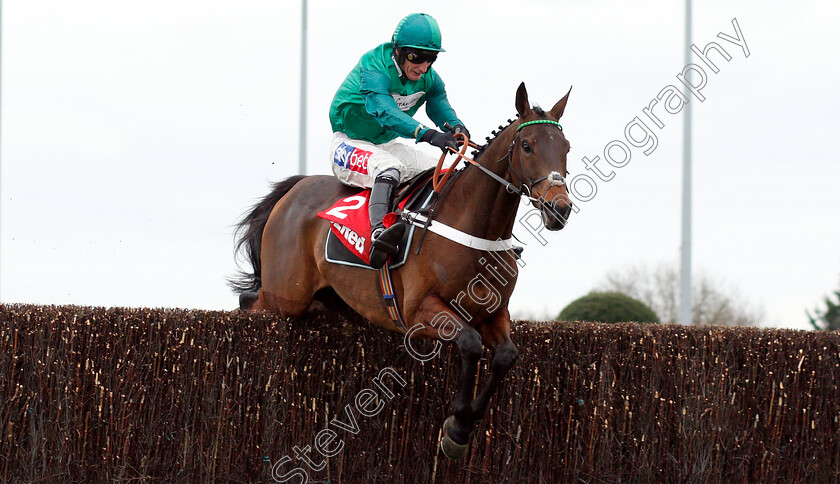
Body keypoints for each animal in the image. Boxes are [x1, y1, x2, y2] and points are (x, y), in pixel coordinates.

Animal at [230, 82, 572, 458]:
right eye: (527, 146)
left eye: (566, 147)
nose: (560, 209)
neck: (473, 229)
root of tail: (294, 189)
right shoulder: (419, 312)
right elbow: (470, 343)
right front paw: (458, 422)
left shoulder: (494, 312)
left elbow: (506, 356)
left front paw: (463, 426)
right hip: (285, 294)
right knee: (251, 304)